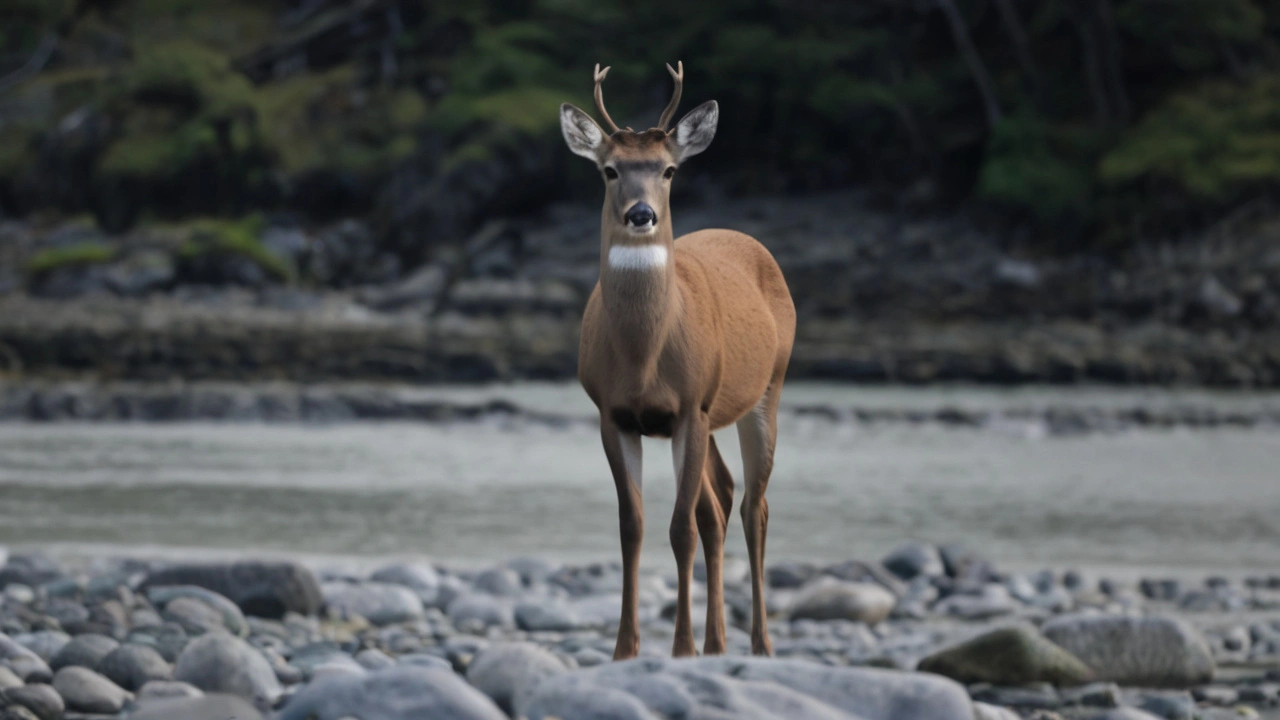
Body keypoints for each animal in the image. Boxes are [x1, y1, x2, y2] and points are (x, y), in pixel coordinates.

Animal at [558, 61, 788, 655]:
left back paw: (759, 645)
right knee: (722, 498)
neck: (644, 359)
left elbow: (680, 527)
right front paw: (625, 650)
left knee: (754, 506)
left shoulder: (689, 406)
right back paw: (719, 643)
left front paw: (680, 647)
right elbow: (632, 527)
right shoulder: (614, 413)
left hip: (766, 389)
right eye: (609, 170)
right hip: (714, 415)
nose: (641, 214)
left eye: (667, 171)